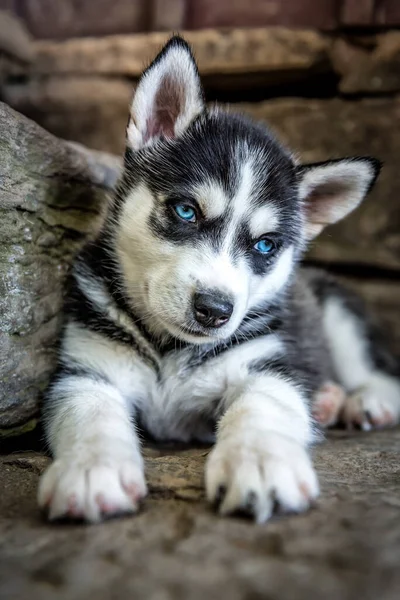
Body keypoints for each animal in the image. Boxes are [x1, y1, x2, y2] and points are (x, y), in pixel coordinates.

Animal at [38, 37, 400, 524]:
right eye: (185, 211)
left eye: (265, 245)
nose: (214, 310)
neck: (171, 351)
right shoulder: (87, 371)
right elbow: (89, 415)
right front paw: (92, 470)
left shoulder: (265, 367)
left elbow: (262, 408)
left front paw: (261, 464)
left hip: (339, 315)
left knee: (379, 374)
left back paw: (361, 401)